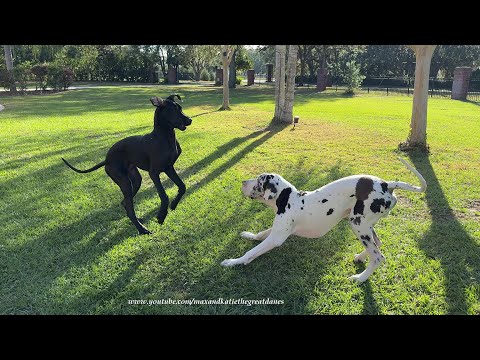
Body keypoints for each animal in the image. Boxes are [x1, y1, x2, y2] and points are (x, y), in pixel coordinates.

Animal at [61, 94, 191, 235]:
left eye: (180, 108)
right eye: (173, 110)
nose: (189, 120)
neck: (164, 137)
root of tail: (107, 159)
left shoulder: (169, 168)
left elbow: (182, 187)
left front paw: (174, 204)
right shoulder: (154, 173)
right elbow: (164, 195)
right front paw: (161, 216)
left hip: (135, 180)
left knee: (125, 203)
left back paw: (139, 221)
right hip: (124, 182)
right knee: (129, 207)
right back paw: (142, 229)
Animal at [221, 158, 428, 284]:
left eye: (258, 180)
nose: (243, 183)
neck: (288, 199)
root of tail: (386, 184)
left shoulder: (276, 238)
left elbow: (250, 253)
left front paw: (233, 261)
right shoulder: (276, 231)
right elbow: (259, 234)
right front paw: (248, 234)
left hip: (358, 224)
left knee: (378, 256)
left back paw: (360, 278)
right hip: (365, 224)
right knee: (377, 243)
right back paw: (361, 257)